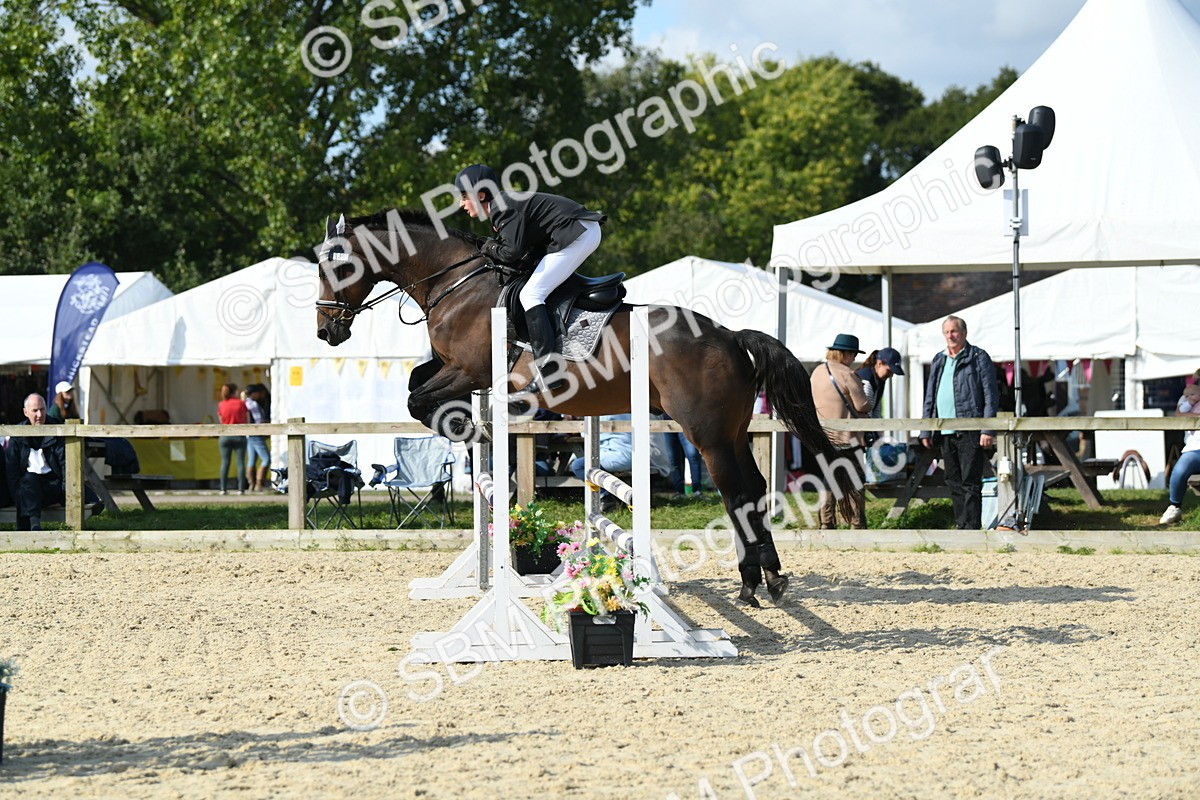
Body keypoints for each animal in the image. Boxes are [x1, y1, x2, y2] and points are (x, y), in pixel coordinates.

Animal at [315, 208, 857, 607]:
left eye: (335, 267)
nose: (326, 331)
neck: (458, 282)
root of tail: (730, 336)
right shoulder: (453, 368)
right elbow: (415, 385)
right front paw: (472, 433)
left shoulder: (470, 370)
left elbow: (419, 398)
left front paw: (469, 428)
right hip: (732, 431)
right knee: (755, 489)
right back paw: (770, 578)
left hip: (707, 435)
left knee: (738, 493)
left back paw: (752, 583)